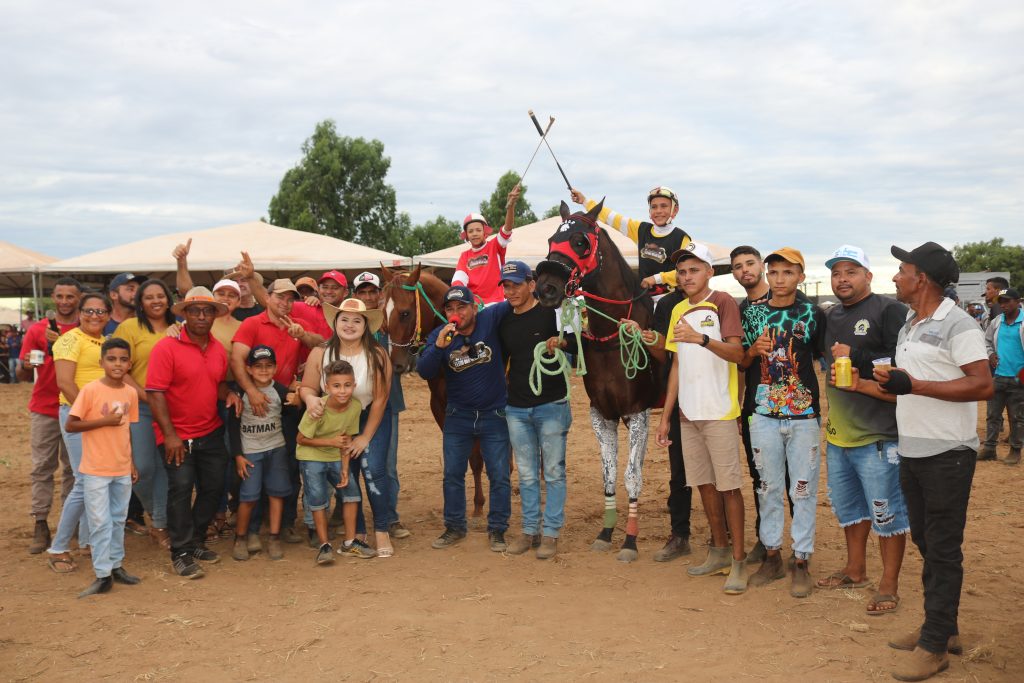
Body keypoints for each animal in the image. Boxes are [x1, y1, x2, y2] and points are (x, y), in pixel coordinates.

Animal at [380, 264, 487, 518]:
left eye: (405, 313)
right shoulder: (440, 408)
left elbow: (477, 458)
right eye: (383, 313)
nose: (396, 365)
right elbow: (457, 458)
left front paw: (479, 504)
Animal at [534, 200, 665, 562]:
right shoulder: (601, 414)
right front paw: (606, 533)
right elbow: (608, 475)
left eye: (580, 241)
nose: (546, 287)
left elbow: (632, 476)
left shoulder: (637, 414)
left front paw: (630, 541)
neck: (613, 333)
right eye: (551, 238)